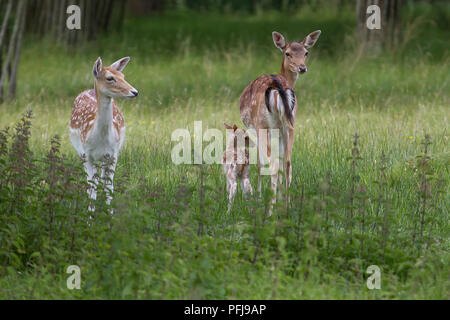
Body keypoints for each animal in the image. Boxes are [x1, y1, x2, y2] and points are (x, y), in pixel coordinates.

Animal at [68, 57, 138, 212]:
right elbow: (91, 188)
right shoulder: (87, 154)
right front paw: (90, 216)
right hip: (81, 153)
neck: (101, 139)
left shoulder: (113, 154)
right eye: (110, 78)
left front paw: (109, 213)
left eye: (123, 76)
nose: (135, 92)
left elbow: (109, 187)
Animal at [239, 30, 320, 215]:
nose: (302, 67)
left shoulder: (255, 129)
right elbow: (283, 162)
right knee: (288, 162)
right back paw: (287, 208)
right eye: (288, 53)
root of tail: (279, 87)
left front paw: (259, 198)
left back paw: (269, 210)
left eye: (306, 52)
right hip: (291, 124)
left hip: (262, 124)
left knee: (273, 164)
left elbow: (260, 164)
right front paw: (281, 201)